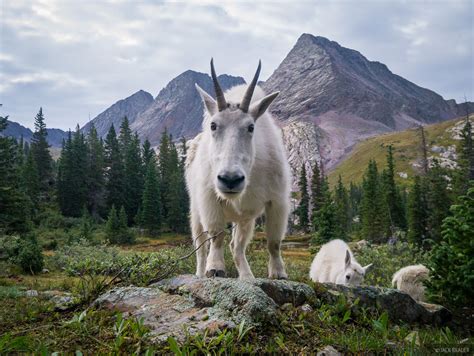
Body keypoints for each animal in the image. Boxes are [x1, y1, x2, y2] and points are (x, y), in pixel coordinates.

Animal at [184, 59, 288, 280]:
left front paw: (278, 273)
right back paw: (200, 273)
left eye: (251, 127)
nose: (230, 179)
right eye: (213, 125)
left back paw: (247, 276)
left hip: (246, 218)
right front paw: (215, 269)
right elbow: (216, 235)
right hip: (195, 209)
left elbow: (274, 242)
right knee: (200, 246)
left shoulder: (277, 200)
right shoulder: (208, 198)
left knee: (237, 245)